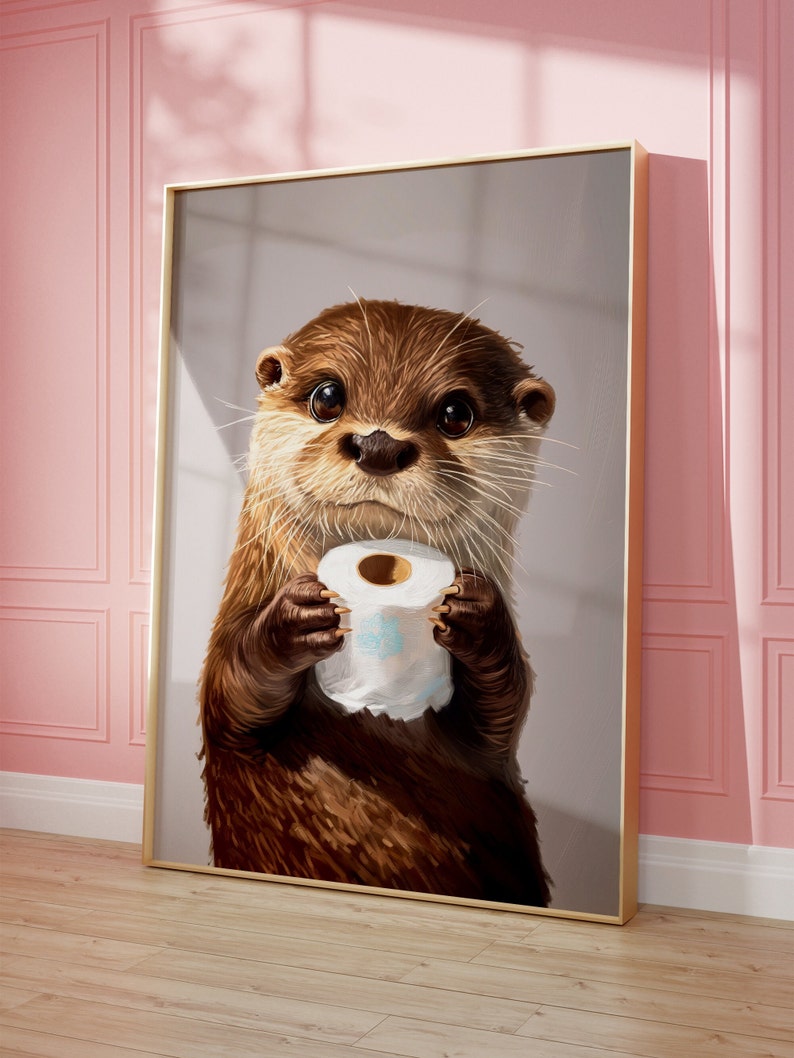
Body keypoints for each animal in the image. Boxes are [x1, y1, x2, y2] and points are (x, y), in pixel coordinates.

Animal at [200, 299, 555, 906]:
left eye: (455, 413)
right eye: (327, 396)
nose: (380, 446)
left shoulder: (491, 758)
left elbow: (506, 706)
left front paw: (479, 620)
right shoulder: (227, 687)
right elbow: (231, 689)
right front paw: (295, 620)